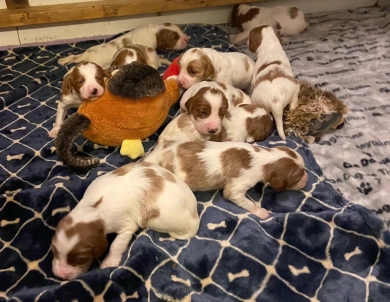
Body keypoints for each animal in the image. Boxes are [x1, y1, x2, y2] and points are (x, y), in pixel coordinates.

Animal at [50, 162, 200, 280]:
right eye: (54, 251)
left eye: (80, 258)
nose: (60, 275)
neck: (91, 210)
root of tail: (195, 216)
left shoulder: (126, 226)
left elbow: (116, 245)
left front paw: (109, 262)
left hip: (154, 220)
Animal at [143, 142, 308, 219]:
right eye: (296, 177)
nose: (307, 179)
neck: (264, 157)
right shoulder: (237, 187)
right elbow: (244, 200)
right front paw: (261, 212)